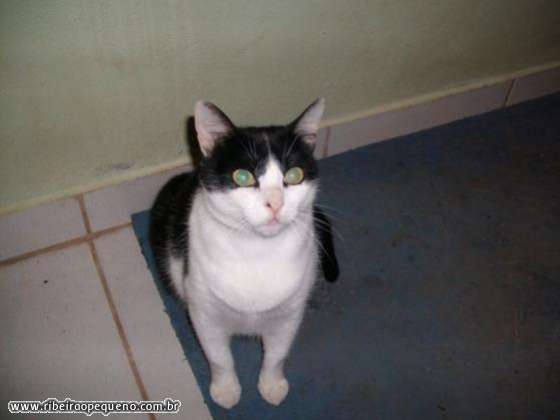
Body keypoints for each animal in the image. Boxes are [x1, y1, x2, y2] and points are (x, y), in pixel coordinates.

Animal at [150, 98, 339, 409]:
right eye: (242, 176)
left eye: (294, 175)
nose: (275, 204)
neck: (257, 250)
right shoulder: (204, 313)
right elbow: (219, 358)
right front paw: (226, 390)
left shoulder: (289, 315)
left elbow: (276, 356)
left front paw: (272, 386)